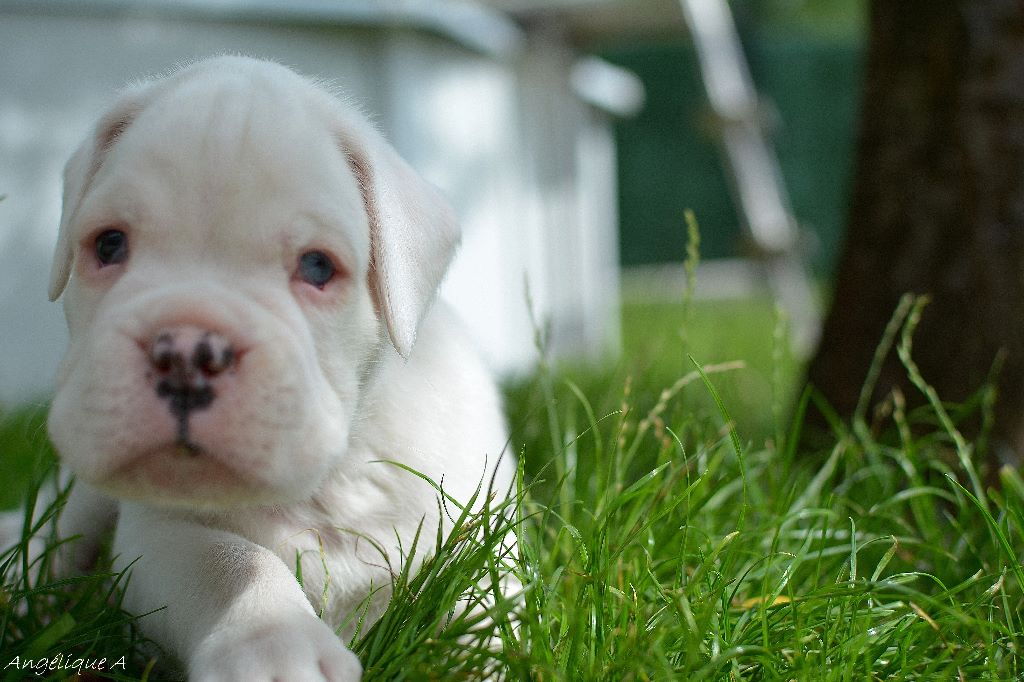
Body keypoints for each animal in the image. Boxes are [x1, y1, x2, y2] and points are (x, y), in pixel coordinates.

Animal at [41, 58, 512, 679]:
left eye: (317, 266)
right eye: (110, 245)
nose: (186, 351)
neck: (331, 479)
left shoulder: (480, 531)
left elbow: (481, 602)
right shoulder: (159, 536)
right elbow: (229, 560)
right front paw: (273, 643)